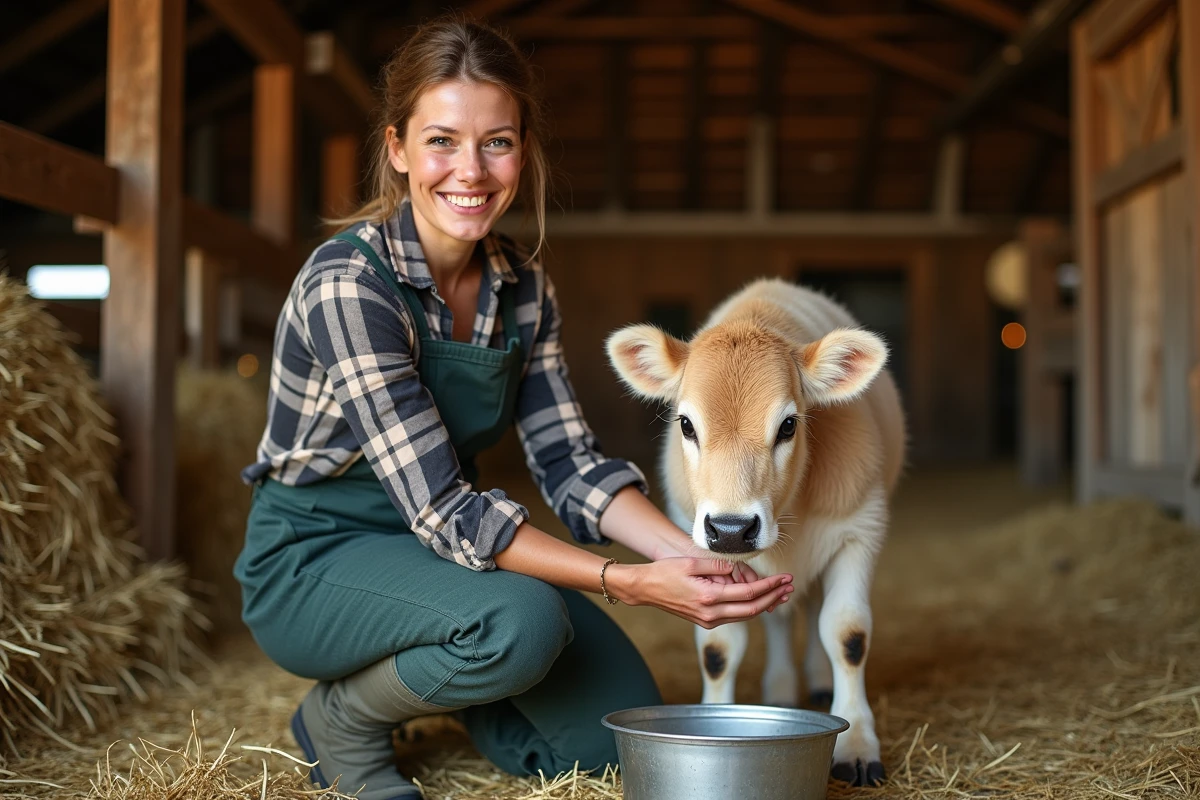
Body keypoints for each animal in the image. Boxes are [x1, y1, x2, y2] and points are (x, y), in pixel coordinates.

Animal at [606, 277, 905, 786]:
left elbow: (847, 634)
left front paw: (858, 745)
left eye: (788, 425)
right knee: (781, 618)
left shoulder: (859, 529)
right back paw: (782, 688)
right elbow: (718, 648)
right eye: (686, 424)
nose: (731, 529)